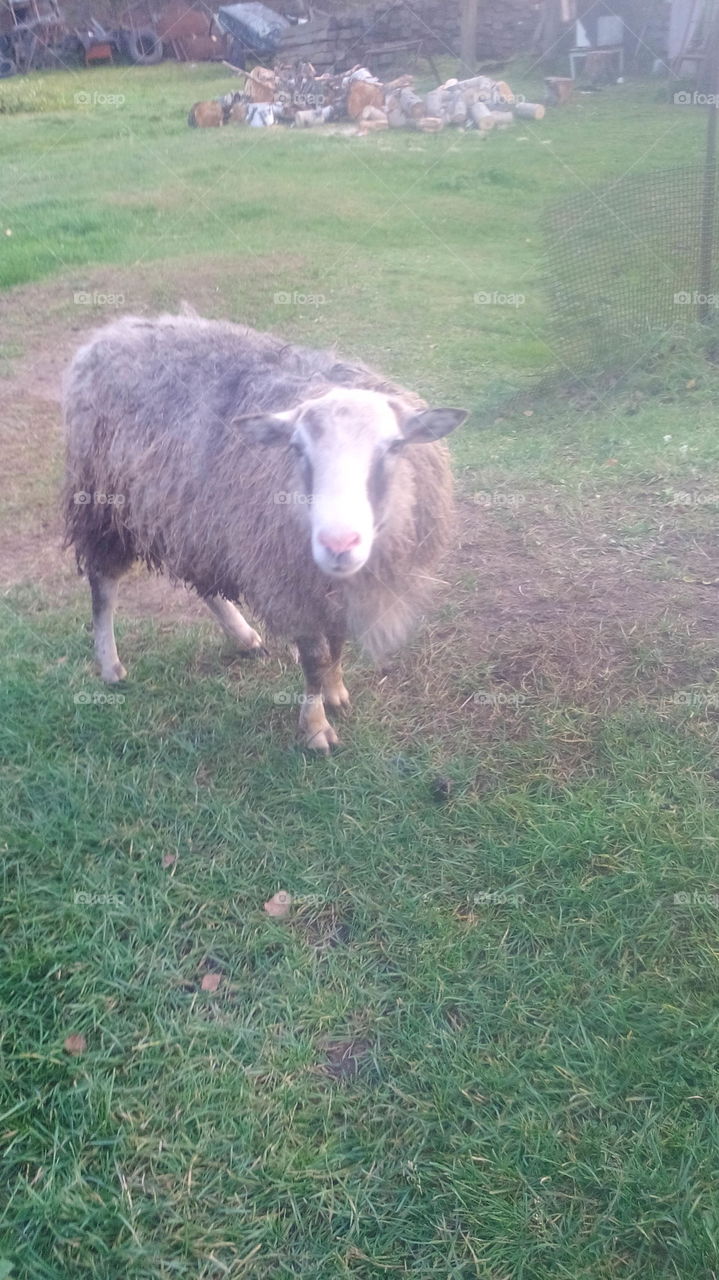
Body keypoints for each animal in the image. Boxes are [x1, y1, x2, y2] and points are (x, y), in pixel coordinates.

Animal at [62, 314, 467, 751]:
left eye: (394, 447)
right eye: (297, 448)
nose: (339, 544)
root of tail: (116, 329)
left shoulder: (329, 587)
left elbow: (337, 642)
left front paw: (335, 690)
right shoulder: (289, 583)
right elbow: (315, 657)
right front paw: (315, 725)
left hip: (195, 514)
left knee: (203, 580)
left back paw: (243, 636)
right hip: (104, 500)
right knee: (103, 583)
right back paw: (110, 665)